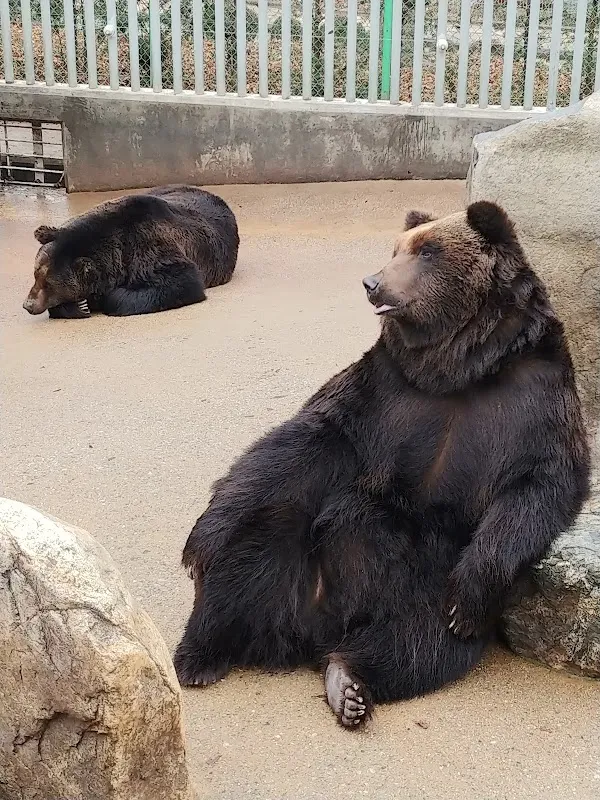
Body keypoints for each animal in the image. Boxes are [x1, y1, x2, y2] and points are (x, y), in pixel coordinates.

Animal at [23, 185, 239, 318]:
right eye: (36, 274)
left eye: (49, 284)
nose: (28, 305)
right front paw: (79, 305)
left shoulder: (151, 249)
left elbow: (182, 281)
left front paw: (98, 299)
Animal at [174, 201, 590, 729]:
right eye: (396, 249)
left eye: (426, 251)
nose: (372, 282)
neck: (461, 366)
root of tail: (315, 631)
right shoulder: (385, 391)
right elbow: (306, 438)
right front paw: (198, 539)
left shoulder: (533, 397)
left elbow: (539, 485)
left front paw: (467, 600)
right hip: (295, 559)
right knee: (249, 553)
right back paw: (199, 655)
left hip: (421, 582)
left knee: (420, 644)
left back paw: (349, 683)